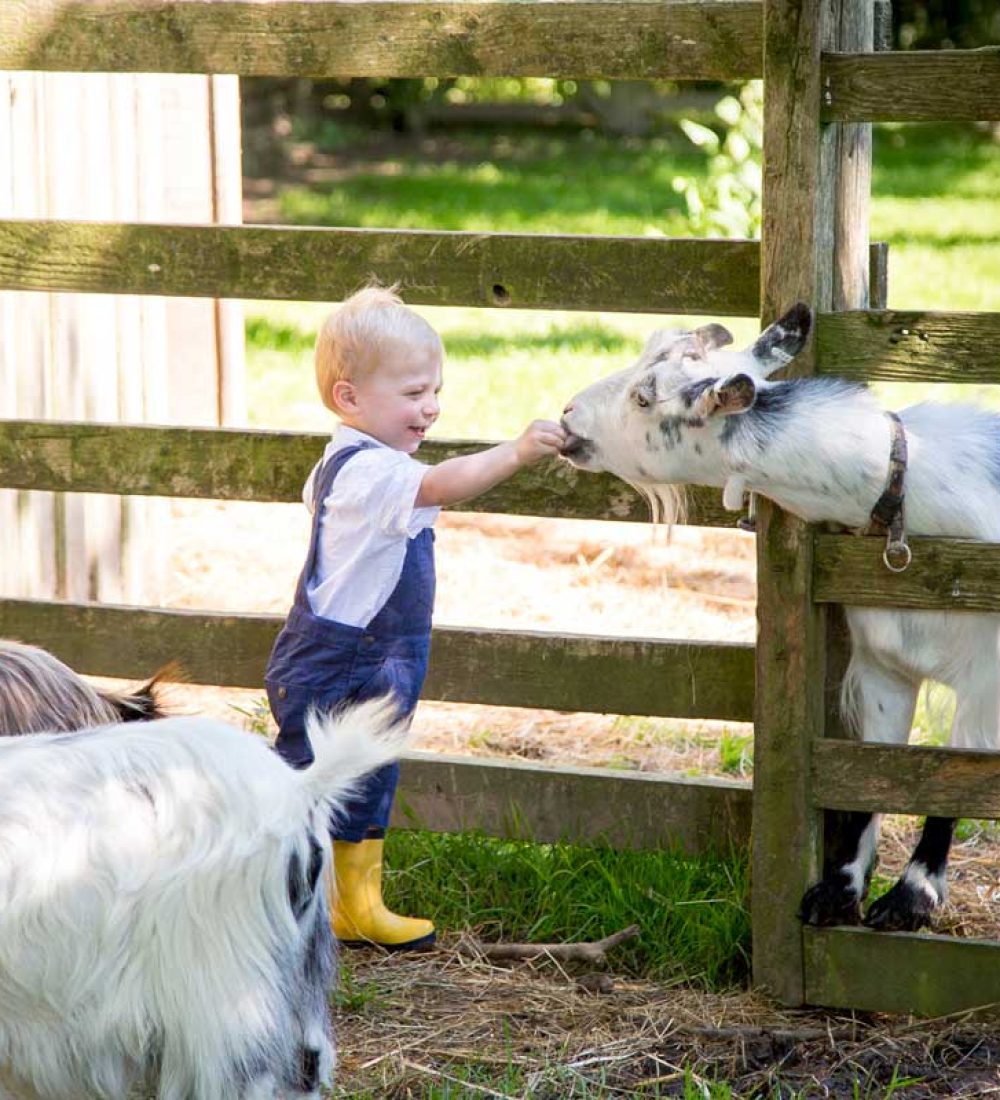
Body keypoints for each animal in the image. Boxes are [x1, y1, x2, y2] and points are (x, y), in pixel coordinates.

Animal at [560, 303, 999, 932]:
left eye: (644, 397)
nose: (567, 414)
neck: (904, 494)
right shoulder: (882, 666)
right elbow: (874, 768)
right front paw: (839, 888)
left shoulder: (988, 678)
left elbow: (953, 780)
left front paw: (910, 898)